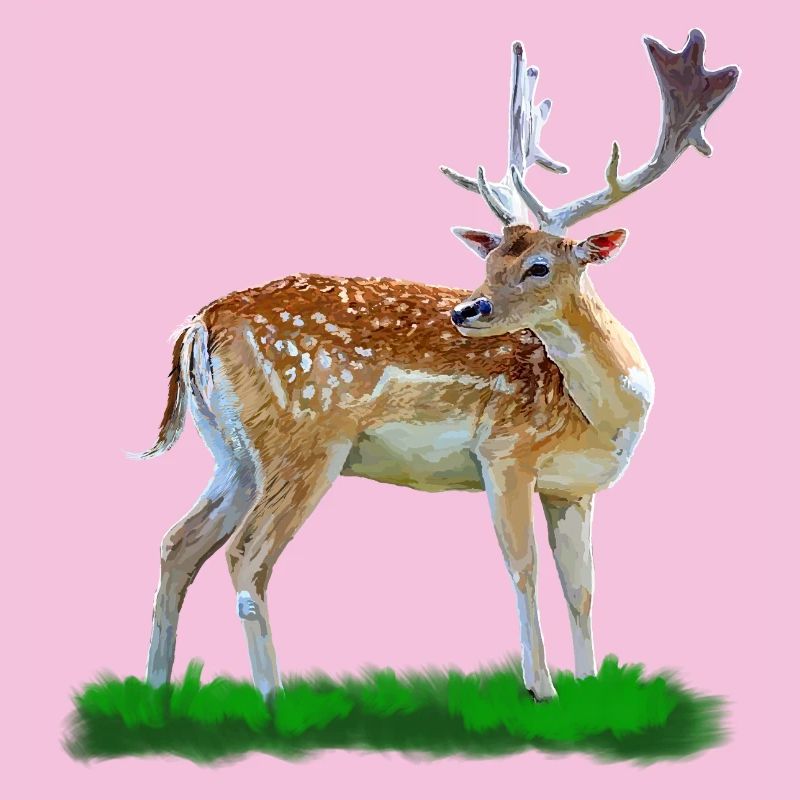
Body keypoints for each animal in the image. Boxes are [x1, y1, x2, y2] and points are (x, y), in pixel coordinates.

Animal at [137, 29, 738, 701]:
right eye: (491, 262)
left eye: (538, 266)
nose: (466, 309)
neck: (603, 413)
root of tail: (198, 324)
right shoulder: (504, 452)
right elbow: (524, 570)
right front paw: (541, 688)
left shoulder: (574, 488)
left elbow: (581, 588)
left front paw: (587, 683)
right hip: (302, 439)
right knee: (247, 557)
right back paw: (273, 700)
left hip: (234, 452)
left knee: (178, 544)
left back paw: (156, 690)